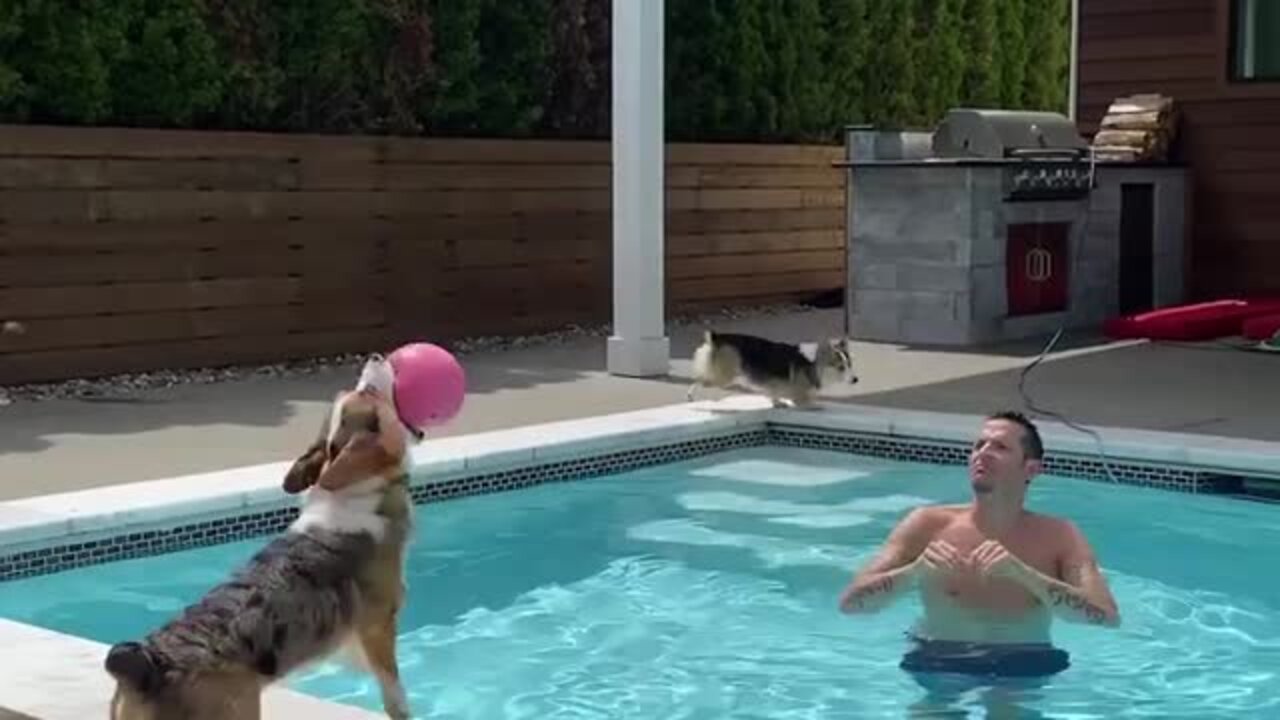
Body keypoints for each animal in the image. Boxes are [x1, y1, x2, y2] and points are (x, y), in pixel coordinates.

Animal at [106, 353, 414, 717]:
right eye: (368, 392)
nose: (376, 357)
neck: (355, 488)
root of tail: (148, 665)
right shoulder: (377, 626)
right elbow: (393, 690)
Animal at [686, 330, 855, 407]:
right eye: (841, 367)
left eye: (850, 364)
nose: (855, 380)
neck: (815, 364)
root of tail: (717, 337)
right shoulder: (799, 395)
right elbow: (806, 401)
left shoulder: (775, 385)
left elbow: (775, 394)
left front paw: (778, 403)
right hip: (722, 377)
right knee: (700, 379)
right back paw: (690, 395)